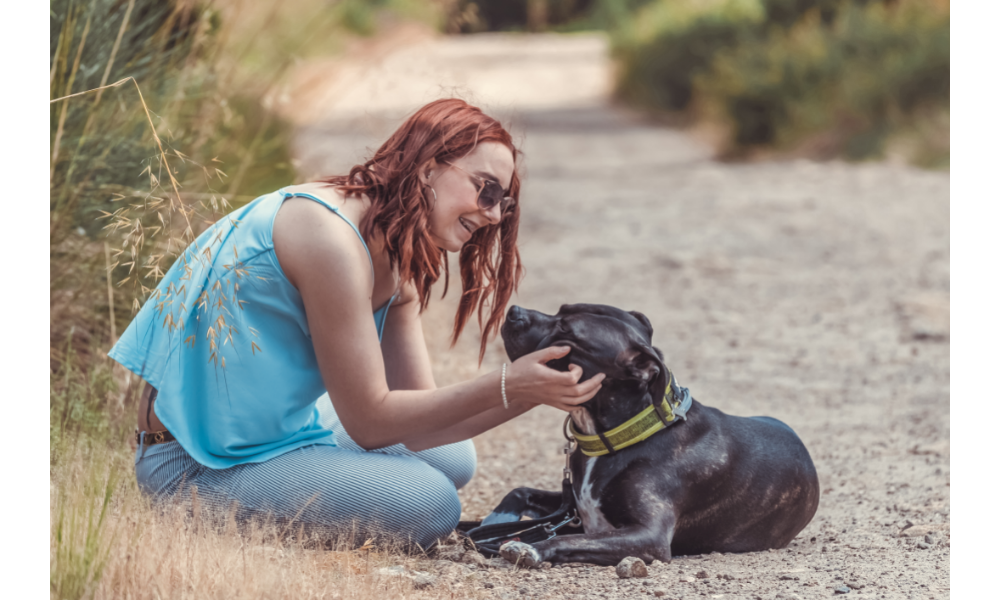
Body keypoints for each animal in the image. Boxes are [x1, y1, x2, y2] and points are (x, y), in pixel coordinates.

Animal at [484, 304, 820, 568]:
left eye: (566, 330)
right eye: (561, 310)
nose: (513, 311)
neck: (626, 435)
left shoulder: (649, 536)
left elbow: (570, 541)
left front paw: (529, 547)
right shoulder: (572, 509)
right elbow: (520, 490)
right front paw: (493, 521)